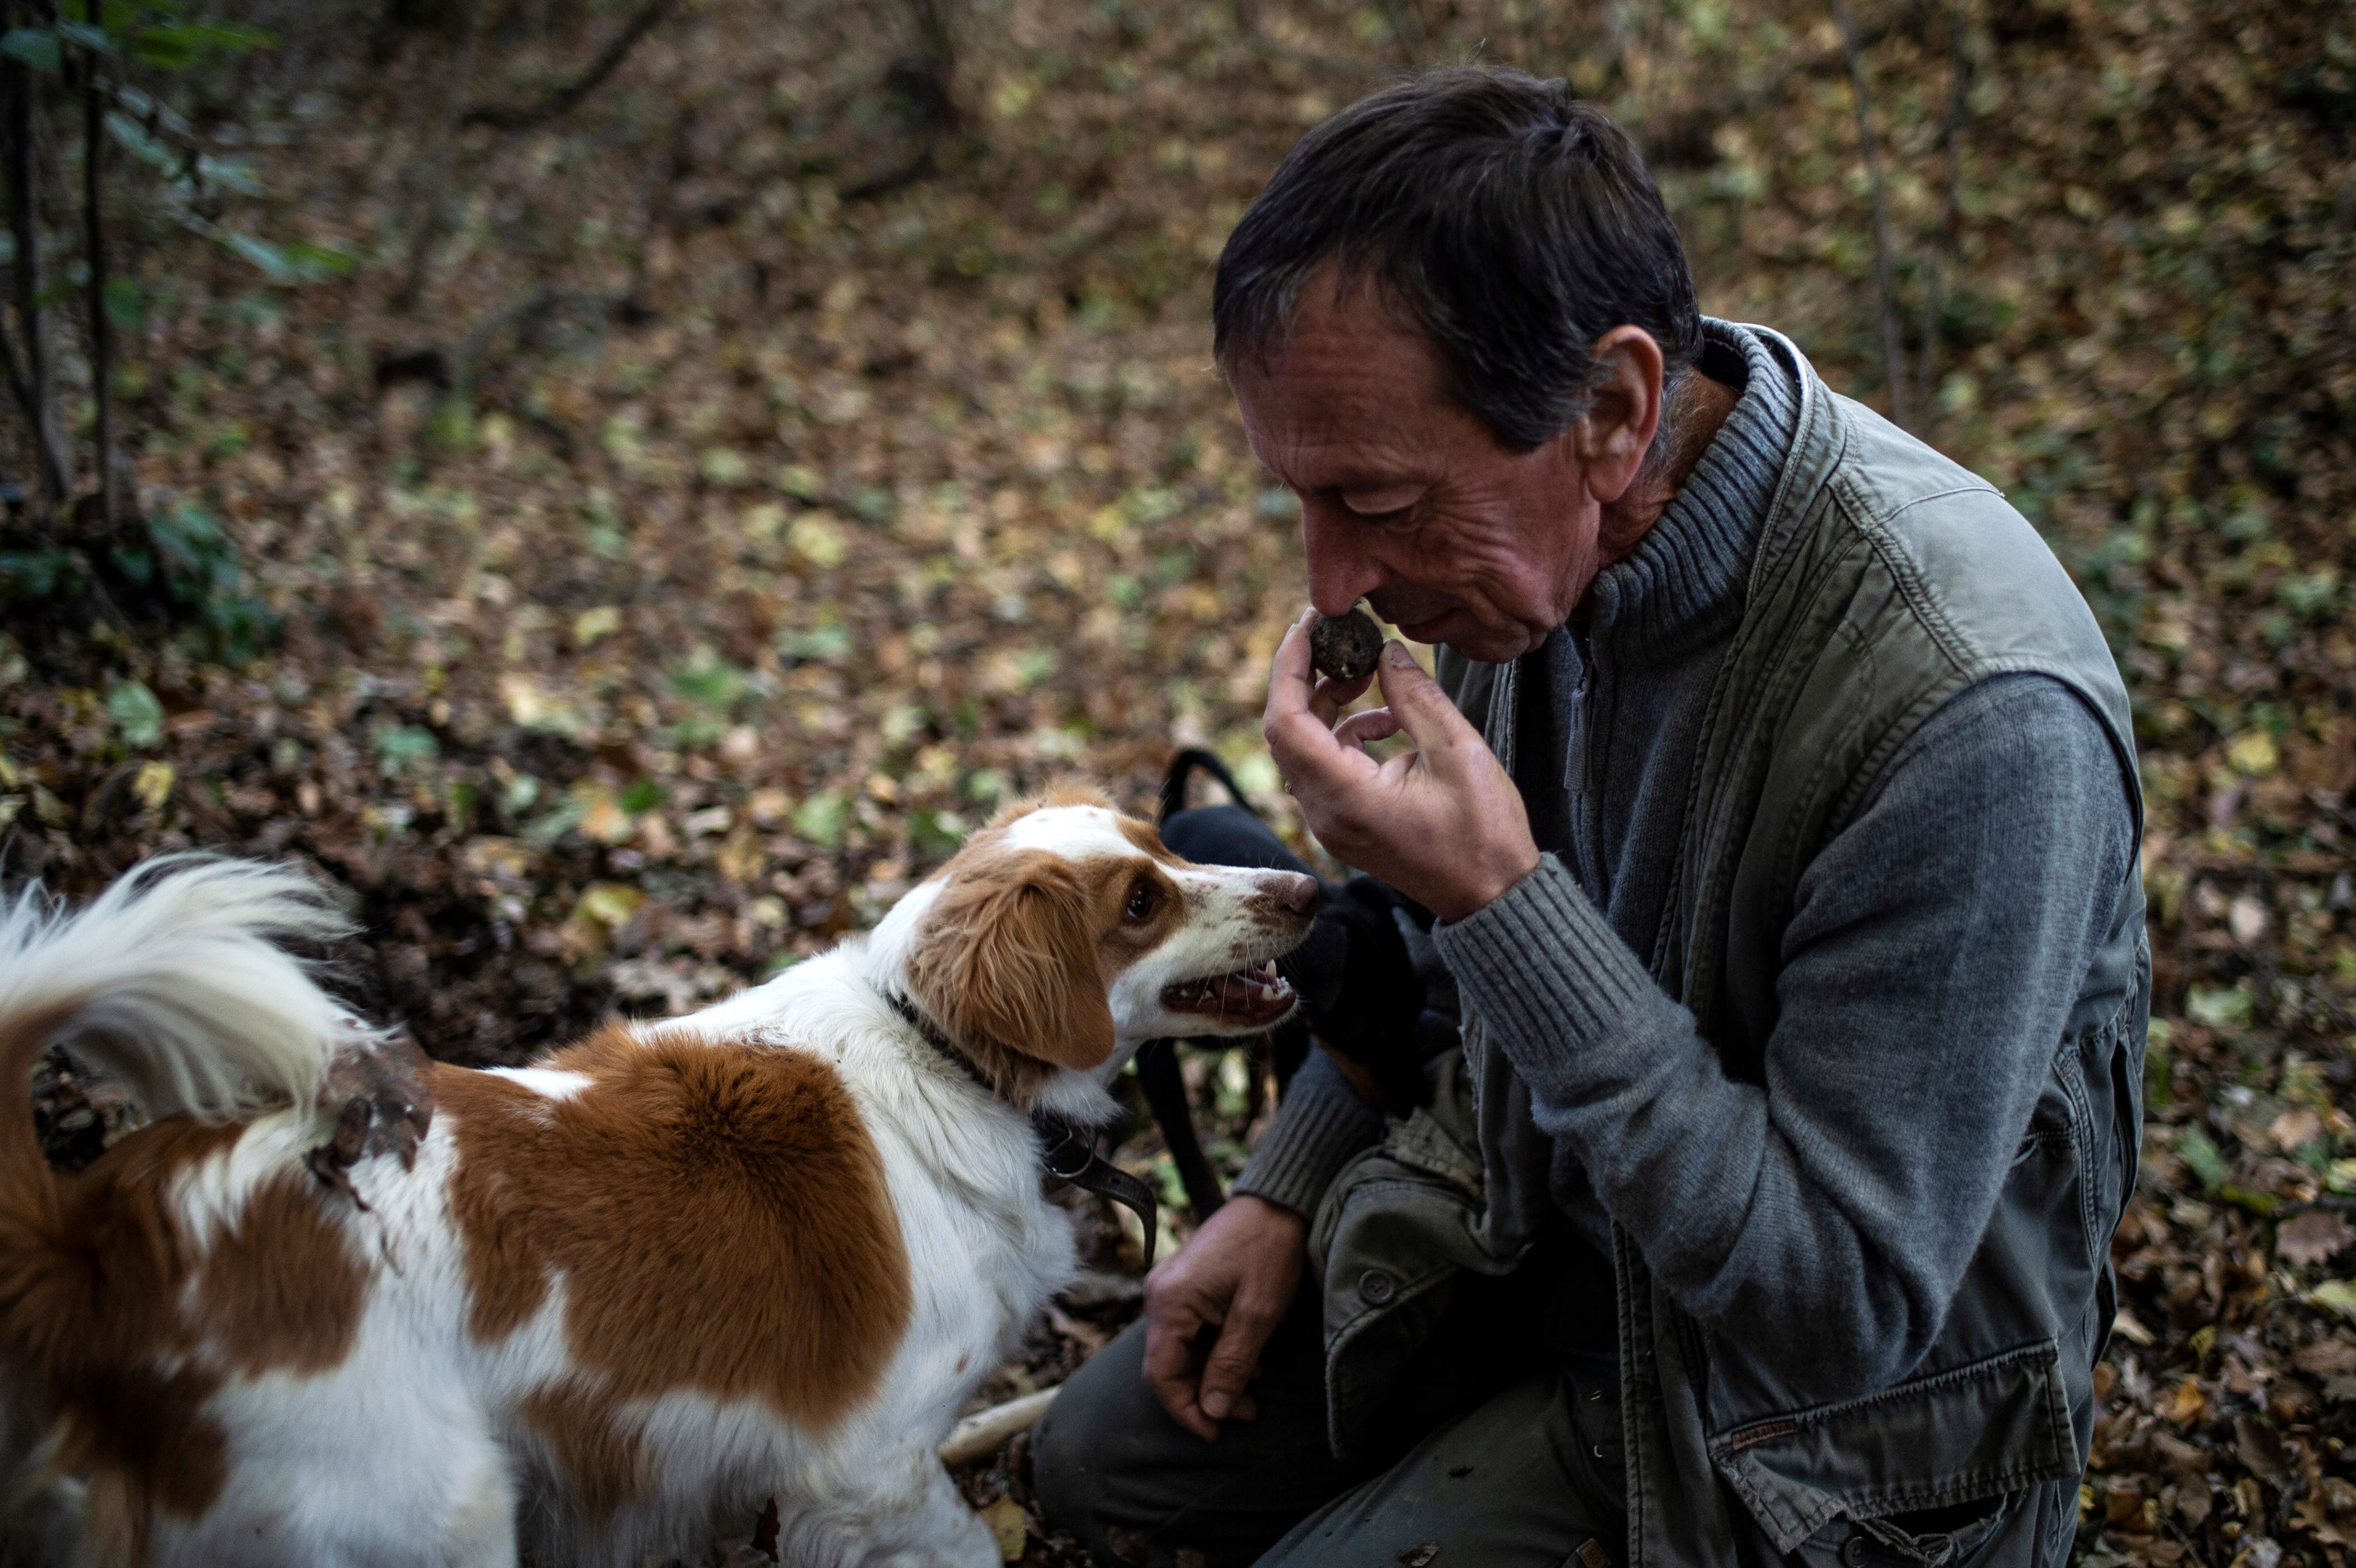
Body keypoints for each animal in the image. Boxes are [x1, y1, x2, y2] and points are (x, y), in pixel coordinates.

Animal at [0, 786, 1319, 1553]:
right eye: (1140, 902)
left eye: (1161, 848)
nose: (1309, 887)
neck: (945, 1060)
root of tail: (104, 1237)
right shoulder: (871, 1466)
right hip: (427, 1514)